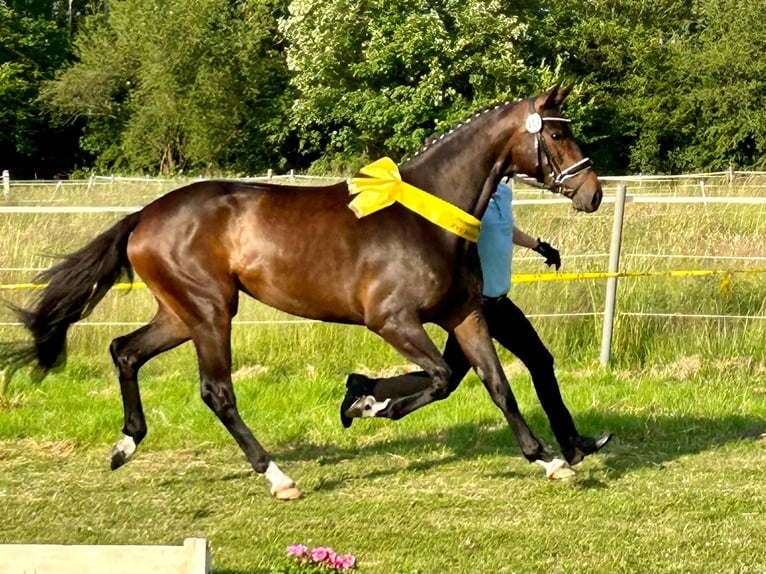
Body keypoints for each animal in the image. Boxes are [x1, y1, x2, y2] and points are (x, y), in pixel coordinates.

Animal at [1, 85, 608, 500]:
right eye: (557, 134)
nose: (593, 193)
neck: (427, 218)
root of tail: (144, 217)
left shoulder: (465, 316)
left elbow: (495, 383)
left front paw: (549, 459)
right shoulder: (392, 320)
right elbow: (438, 377)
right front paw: (368, 402)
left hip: (180, 314)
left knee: (124, 351)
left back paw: (126, 444)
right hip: (211, 312)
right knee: (217, 392)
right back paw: (277, 476)